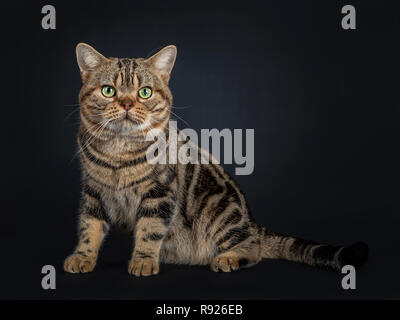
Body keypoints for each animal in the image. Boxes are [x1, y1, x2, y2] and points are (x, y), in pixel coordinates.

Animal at [63, 43, 368, 276]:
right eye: (109, 91)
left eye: (145, 92)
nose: (127, 103)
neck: (119, 151)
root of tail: (252, 222)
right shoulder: (93, 191)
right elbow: (89, 227)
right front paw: (83, 256)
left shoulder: (160, 192)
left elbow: (149, 230)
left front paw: (143, 260)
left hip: (215, 205)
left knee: (253, 248)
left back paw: (228, 258)